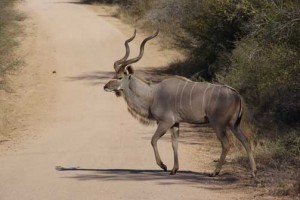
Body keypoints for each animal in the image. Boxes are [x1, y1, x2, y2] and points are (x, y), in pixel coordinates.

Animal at [104, 29, 256, 177]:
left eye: (119, 77)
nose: (105, 87)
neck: (152, 94)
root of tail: (237, 95)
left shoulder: (165, 122)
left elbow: (153, 140)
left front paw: (164, 166)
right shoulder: (175, 123)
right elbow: (174, 144)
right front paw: (174, 169)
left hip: (218, 124)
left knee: (226, 144)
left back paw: (215, 172)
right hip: (234, 125)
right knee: (246, 141)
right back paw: (253, 172)